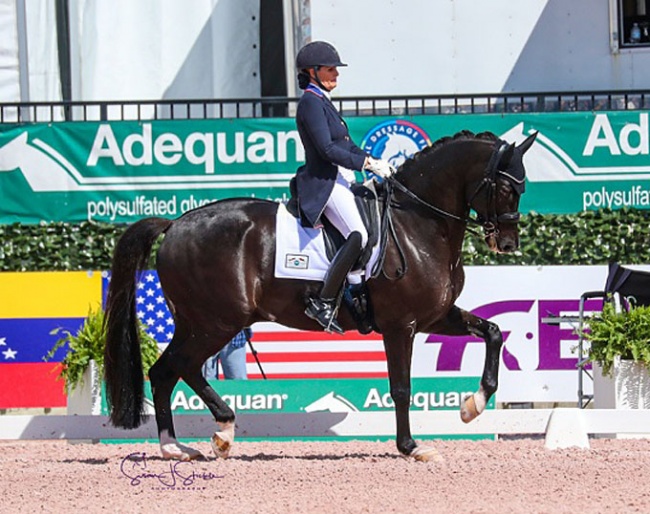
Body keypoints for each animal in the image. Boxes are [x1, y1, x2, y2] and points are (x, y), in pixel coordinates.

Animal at [104, 128, 536, 460]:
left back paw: (187, 444)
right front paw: (411, 446)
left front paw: (472, 405)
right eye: (504, 187)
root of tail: (175, 223)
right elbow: (401, 388)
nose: (509, 243)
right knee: (177, 367)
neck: (418, 224)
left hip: (200, 322)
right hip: (217, 321)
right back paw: (207, 435)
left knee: (168, 371)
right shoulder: (401, 325)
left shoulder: (434, 316)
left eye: (523, 186)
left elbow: (493, 332)